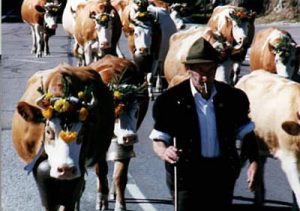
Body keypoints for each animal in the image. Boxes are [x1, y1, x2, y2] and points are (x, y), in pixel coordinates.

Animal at [12, 65, 115, 210]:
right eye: (48, 131)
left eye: (82, 133)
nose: (66, 169)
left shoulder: (78, 171)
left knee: (101, 170)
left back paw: (102, 200)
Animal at [89, 54, 149, 211]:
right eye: (116, 113)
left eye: (137, 112)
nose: (130, 137)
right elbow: (101, 171)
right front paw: (101, 200)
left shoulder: (125, 145)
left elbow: (120, 175)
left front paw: (120, 205)